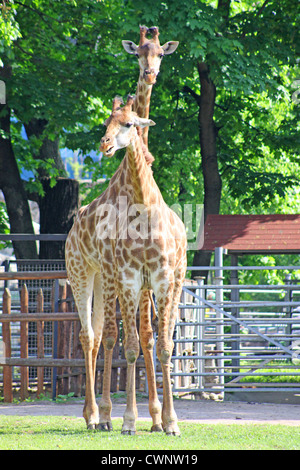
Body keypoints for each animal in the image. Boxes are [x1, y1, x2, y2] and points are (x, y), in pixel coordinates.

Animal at [99, 95, 186, 436]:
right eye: (106, 121)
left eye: (128, 123)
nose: (105, 143)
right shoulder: (129, 280)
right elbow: (132, 347)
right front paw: (128, 421)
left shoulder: (163, 279)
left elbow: (165, 347)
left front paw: (173, 422)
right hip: (133, 289)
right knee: (133, 339)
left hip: (175, 284)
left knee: (162, 339)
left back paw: (161, 420)